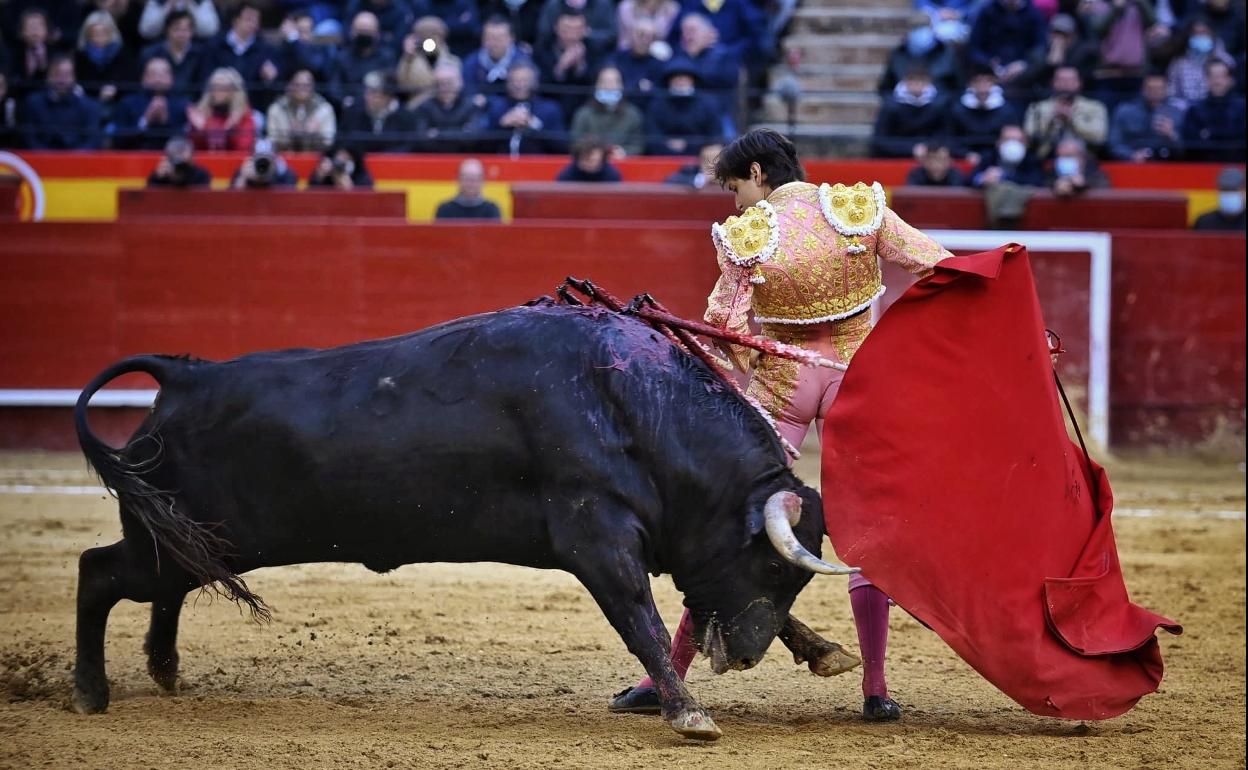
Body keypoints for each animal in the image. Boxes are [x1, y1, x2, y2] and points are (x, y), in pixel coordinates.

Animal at [73, 298, 853, 738]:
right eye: (766, 564)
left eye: (790, 577)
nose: (746, 656)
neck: (632, 402)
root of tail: (187, 374)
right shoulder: (596, 536)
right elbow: (643, 621)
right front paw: (689, 714)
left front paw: (823, 652)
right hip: (182, 541)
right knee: (98, 572)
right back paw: (90, 692)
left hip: (195, 540)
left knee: (163, 586)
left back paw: (165, 671)